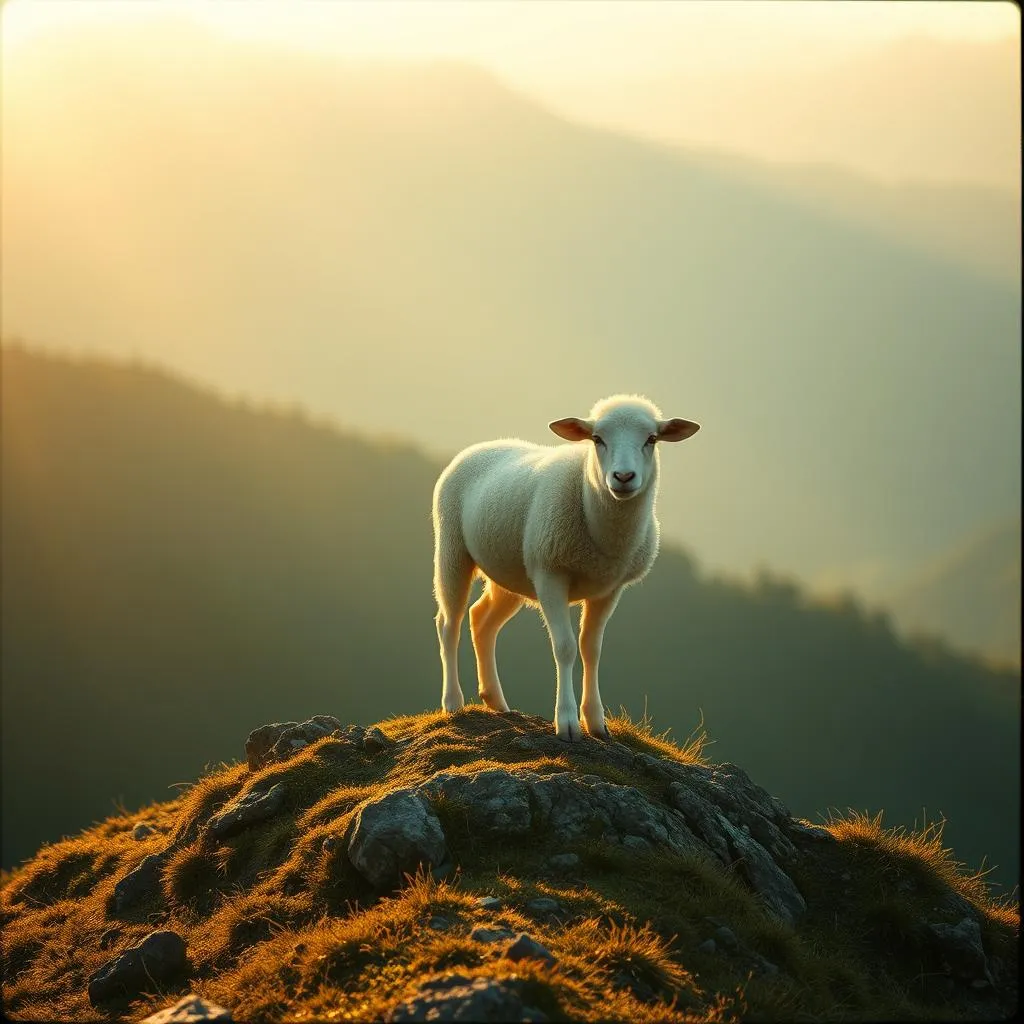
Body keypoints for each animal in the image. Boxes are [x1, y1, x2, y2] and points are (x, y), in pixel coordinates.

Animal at [431, 394, 700, 742]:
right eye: (597, 439)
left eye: (651, 439)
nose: (623, 477)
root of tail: (479, 447)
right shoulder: (550, 574)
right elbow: (566, 647)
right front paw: (568, 722)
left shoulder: (609, 589)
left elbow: (591, 649)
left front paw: (596, 721)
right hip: (452, 550)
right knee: (449, 623)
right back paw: (453, 702)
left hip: (509, 572)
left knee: (481, 619)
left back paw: (497, 701)